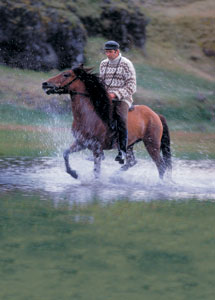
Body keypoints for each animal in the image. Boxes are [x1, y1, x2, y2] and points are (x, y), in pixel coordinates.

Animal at [42, 67, 172, 179]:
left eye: (66, 75)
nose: (45, 83)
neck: (88, 116)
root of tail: (156, 115)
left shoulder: (96, 148)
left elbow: (96, 172)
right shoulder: (81, 143)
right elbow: (65, 154)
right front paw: (74, 173)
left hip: (152, 144)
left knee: (161, 165)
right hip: (129, 145)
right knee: (131, 162)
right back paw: (114, 176)